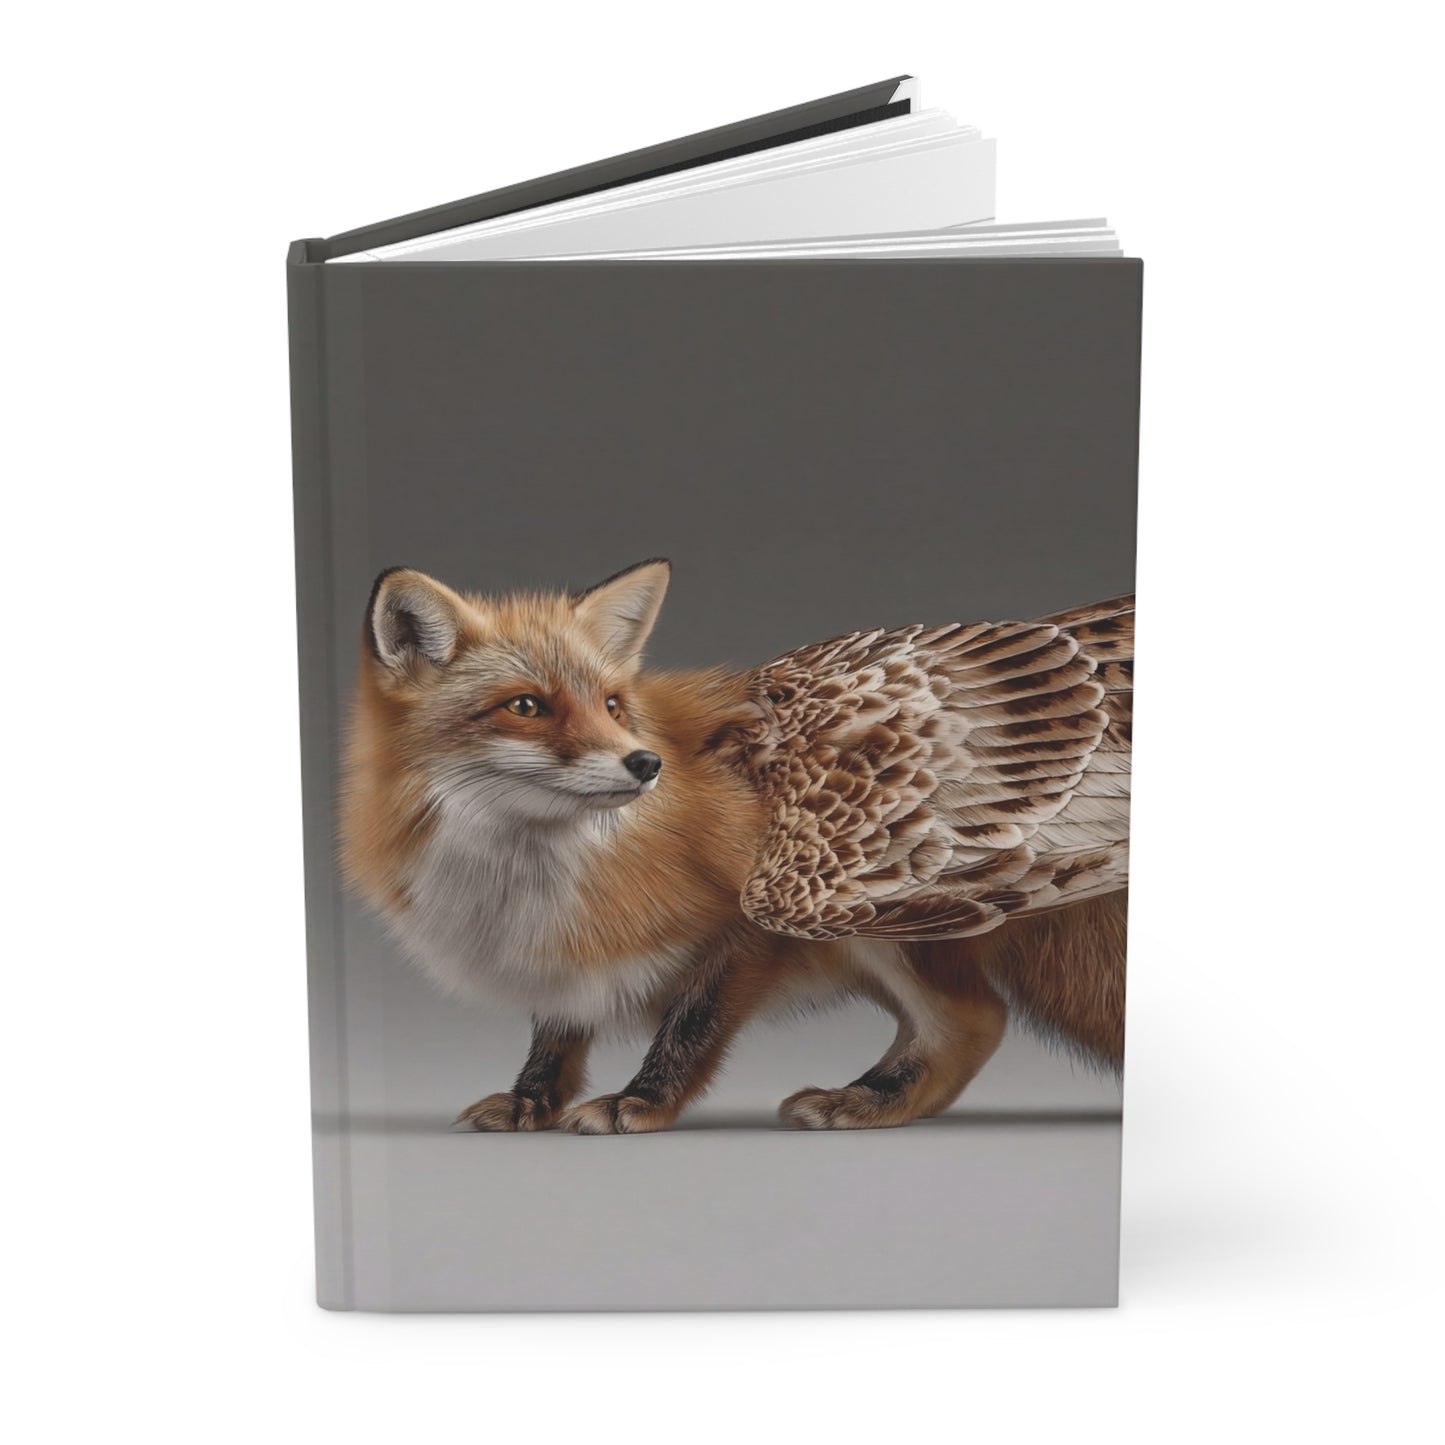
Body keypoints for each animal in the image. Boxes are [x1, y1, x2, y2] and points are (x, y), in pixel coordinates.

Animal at [340, 559, 1129, 1133]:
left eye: (612, 705)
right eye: (526, 706)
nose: (645, 764)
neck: (529, 876)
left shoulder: (746, 931)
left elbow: (688, 1027)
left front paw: (642, 1101)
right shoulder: (565, 951)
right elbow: (555, 1037)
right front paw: (532, 1101)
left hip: (875, 915)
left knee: (972, 1020)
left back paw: (868, 1101)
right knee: (973, 1023)